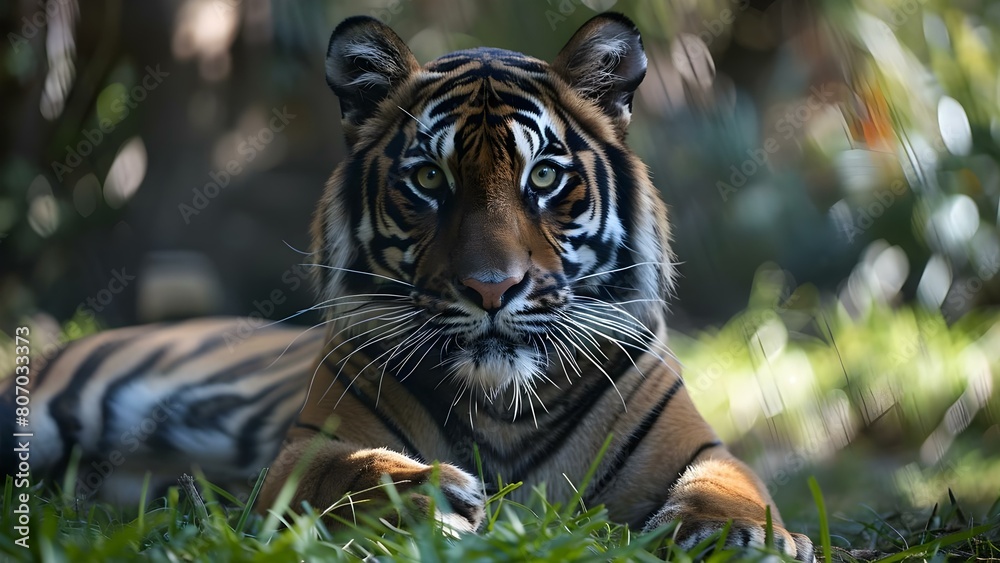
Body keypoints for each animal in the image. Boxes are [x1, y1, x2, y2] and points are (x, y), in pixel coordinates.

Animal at [2, 12, 815, 559]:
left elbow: (731, 487)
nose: (492, 289)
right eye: (428, 179)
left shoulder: (698, 447)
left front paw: (735, 535)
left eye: (543, 177)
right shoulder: (304, 451)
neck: (505, 406)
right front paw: (429, 495)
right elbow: (352, 471)